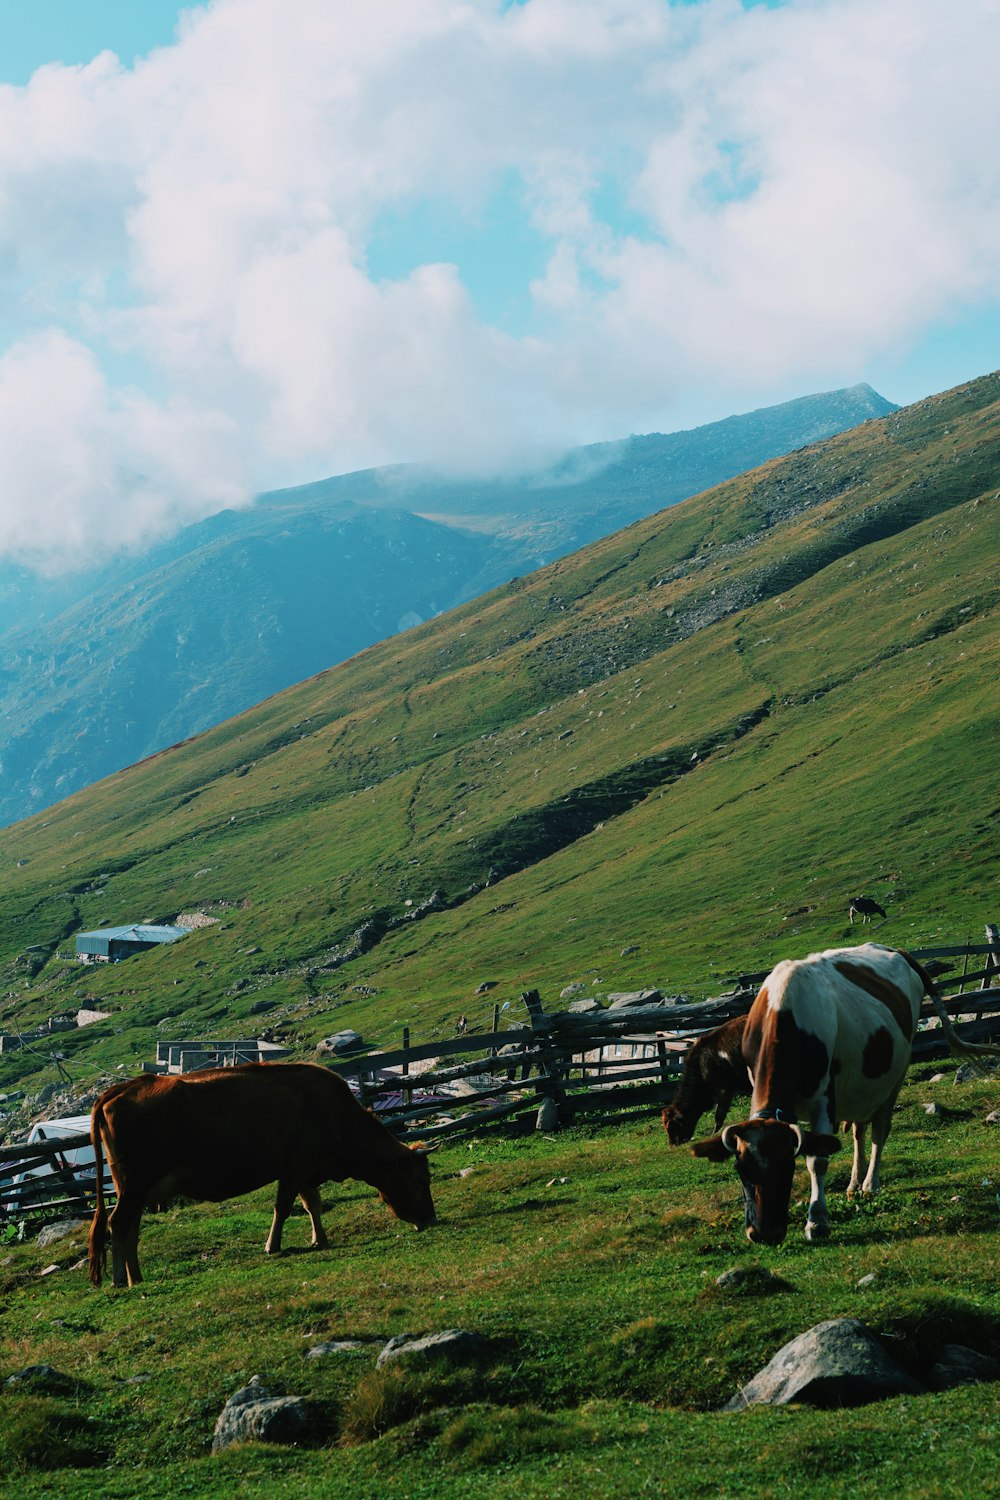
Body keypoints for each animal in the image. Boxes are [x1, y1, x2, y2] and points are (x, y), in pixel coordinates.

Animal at [91, 1056, 437, 1290]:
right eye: (421, 1181)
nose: (432, 1220)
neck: (339, 1116)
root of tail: (123, 1088)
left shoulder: (306, 1169)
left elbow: (313, 1204)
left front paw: (319, 1239)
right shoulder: (296, 1164)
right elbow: (283, 1207)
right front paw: (273, 1246)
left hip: (136, 1189)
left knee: (131, 1229)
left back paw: (136, 1277)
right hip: (134, 1183)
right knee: (117, 1223)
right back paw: (120, 1279)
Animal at [692, 942, 995, 1248]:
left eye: (787, 1167)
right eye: (741, 1171)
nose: (765, 1234)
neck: (784, 1010)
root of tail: (892, 949)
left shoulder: (824, 1100)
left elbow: (817, 1160)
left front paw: (817, 1221)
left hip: (896, 1073)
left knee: (879, 1131)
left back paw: (870, 1184)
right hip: (862, 1086)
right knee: (859, 1131)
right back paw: (853, 1184)